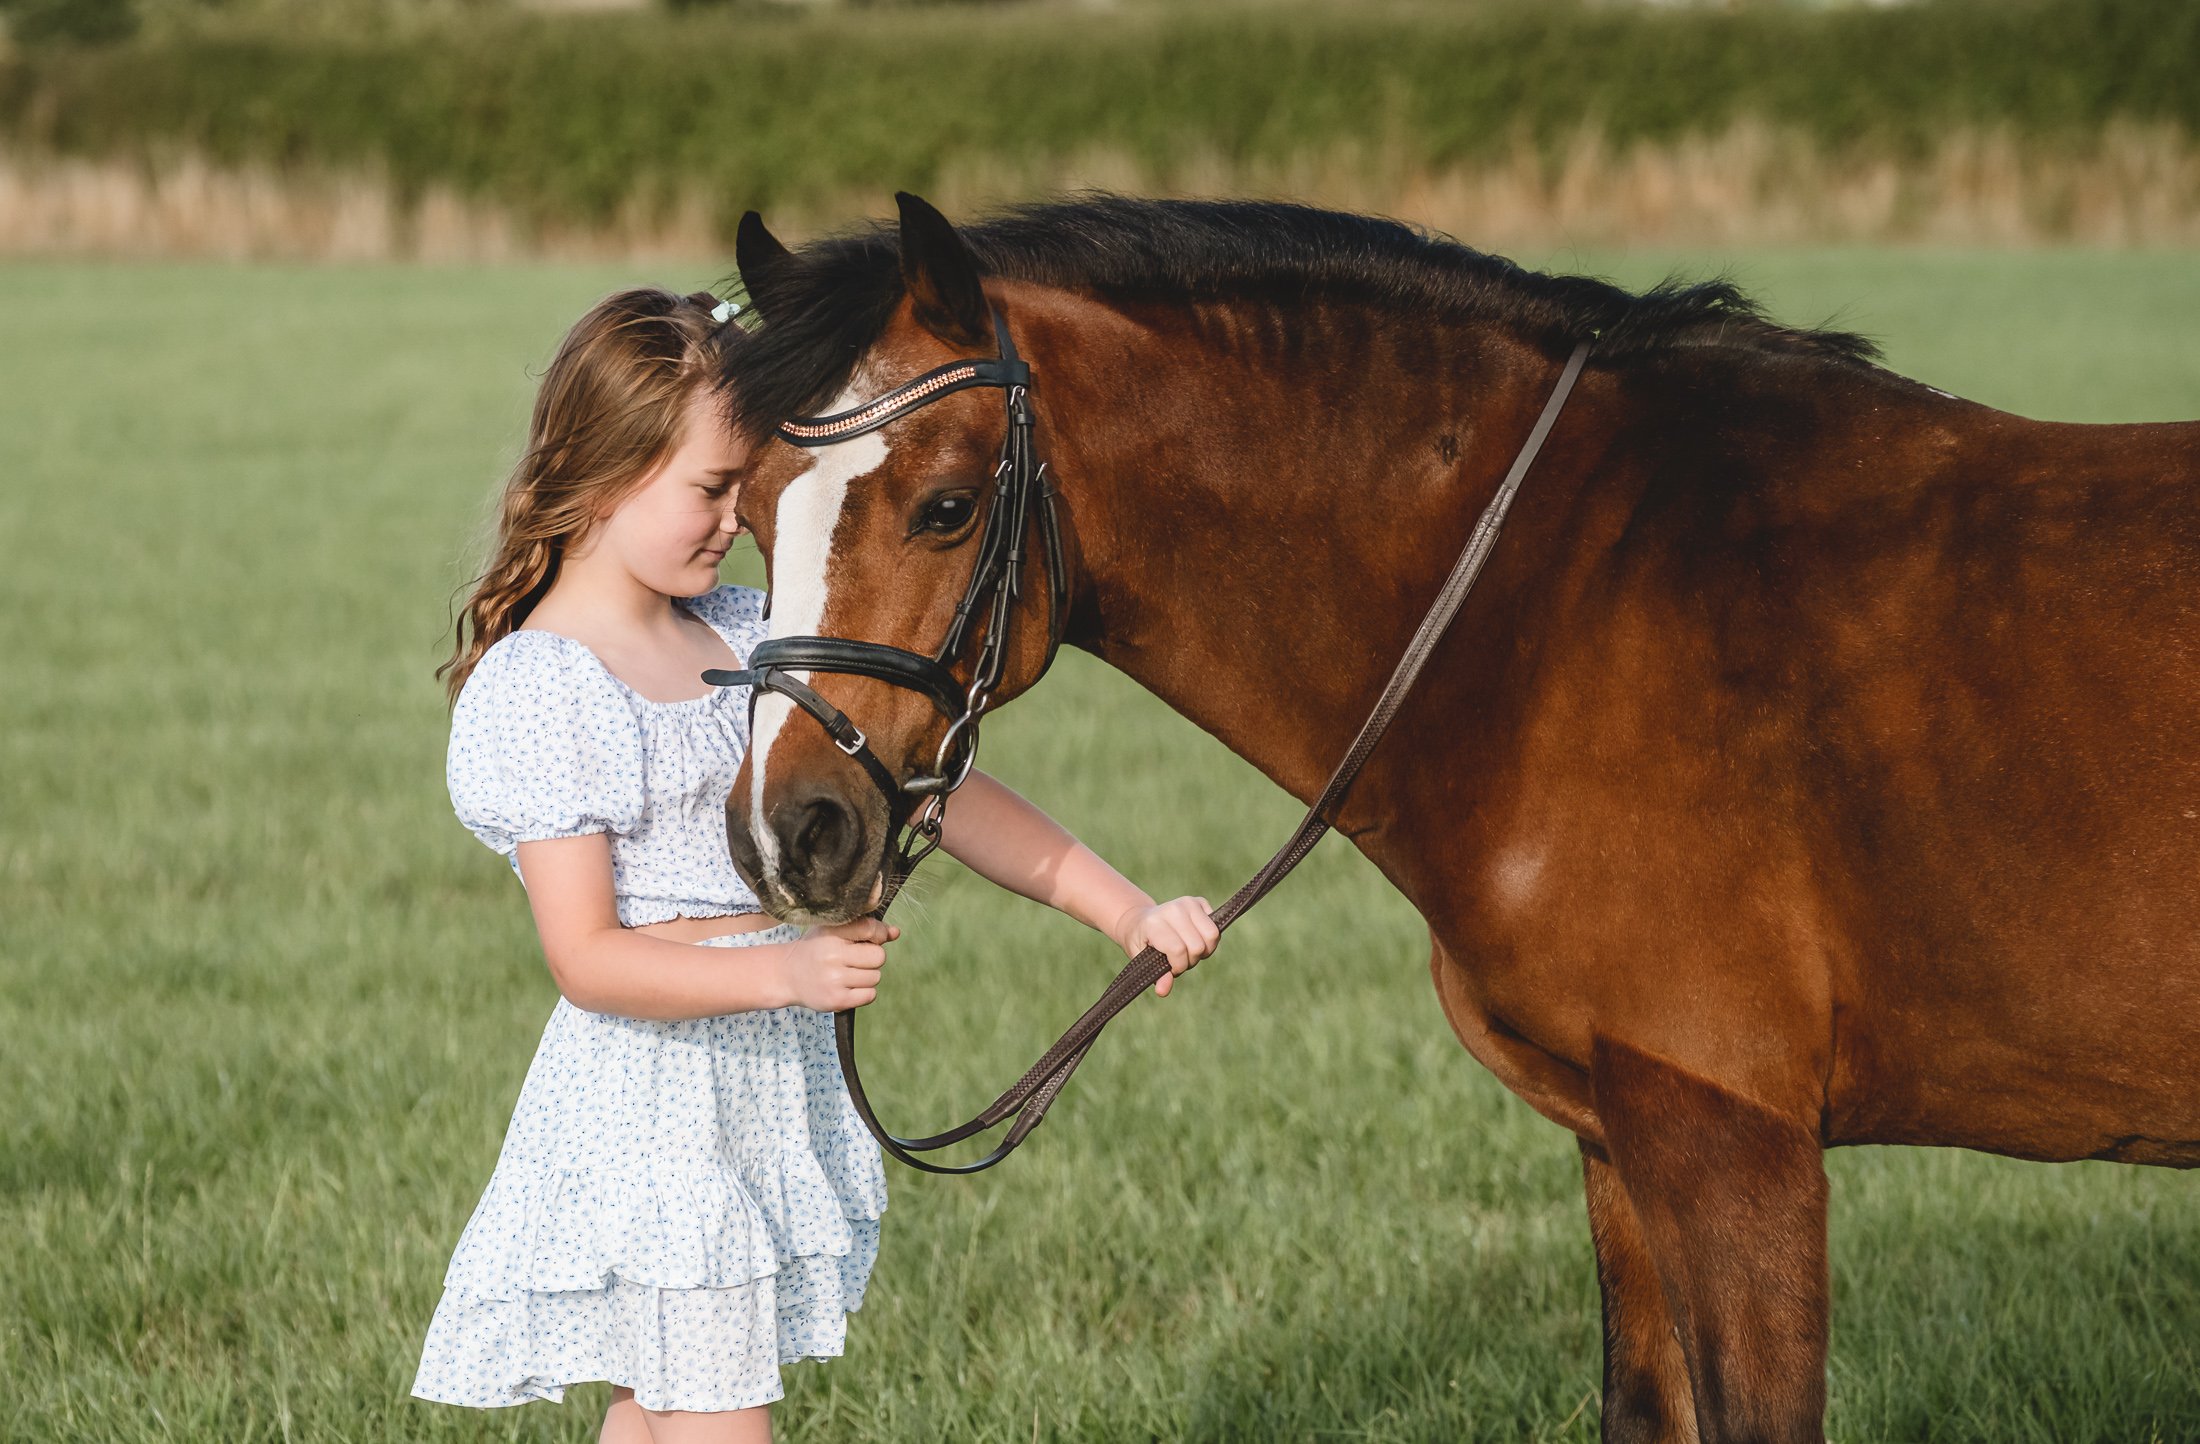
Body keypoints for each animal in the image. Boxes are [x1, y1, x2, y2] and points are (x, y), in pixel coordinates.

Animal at [713, 193, 2200, 1444]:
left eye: (945, 507)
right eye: (746, 515)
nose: (793, 832)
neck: (1557, 600)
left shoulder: (1732, 1141)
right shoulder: (1620, 1141)